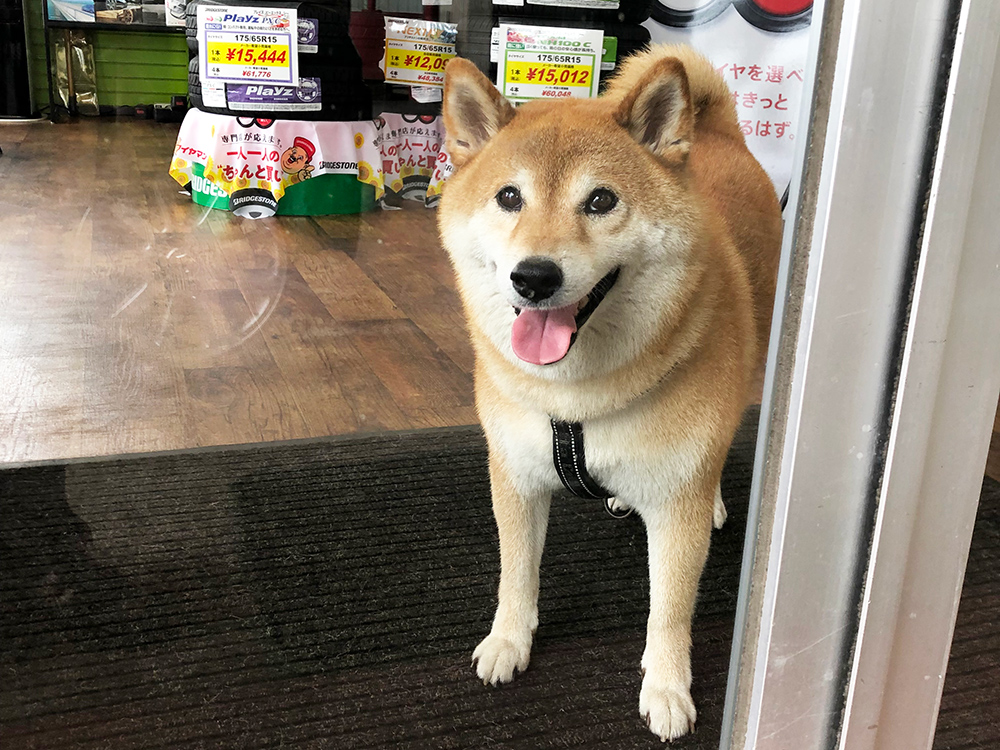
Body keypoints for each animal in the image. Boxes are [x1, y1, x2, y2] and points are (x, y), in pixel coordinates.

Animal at [438, 47, 780, 748]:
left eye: (600, 200)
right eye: (508, 196)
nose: (534, 276)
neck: (580, 400)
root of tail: (719, 133)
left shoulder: (676, 504)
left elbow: (669, 610)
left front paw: (668, 688)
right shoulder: (514, 476)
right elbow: (517, 570)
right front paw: (508, 641)